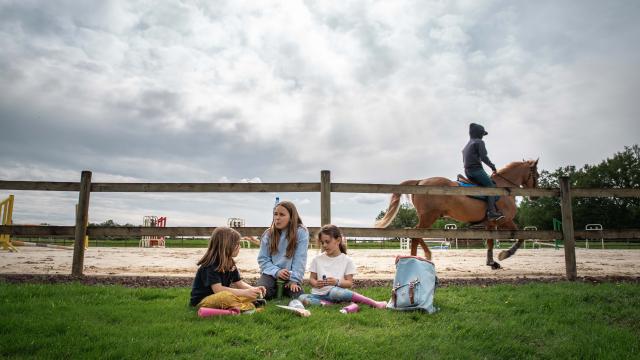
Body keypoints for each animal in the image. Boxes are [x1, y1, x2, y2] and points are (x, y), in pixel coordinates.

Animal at [376, 159, 540, 268]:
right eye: (536, 175)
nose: (535, 196)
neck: (503, 188)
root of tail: (420, 181)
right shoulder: (505, 220)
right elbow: (520, 237)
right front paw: (505, 254)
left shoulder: (491, 224)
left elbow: (490, 243)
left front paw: (491, 262)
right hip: (429, 217)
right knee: (416, 234)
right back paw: (418, 257)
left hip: (427, 217)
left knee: (416, 234)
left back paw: (422, 256)